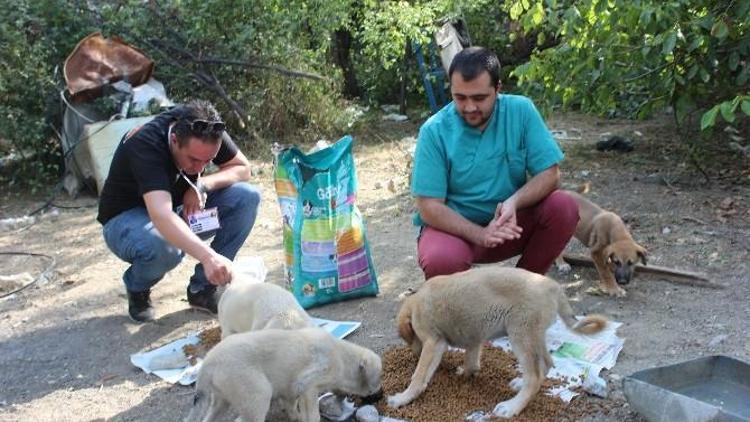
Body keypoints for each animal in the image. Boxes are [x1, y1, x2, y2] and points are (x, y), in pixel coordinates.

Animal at [183, 328, 382, 420]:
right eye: (378, 378)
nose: (380, 395)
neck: (342, 357)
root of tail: (209, 361)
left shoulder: (292, 390)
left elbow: (293, 408)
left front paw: (296, 417)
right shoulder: (308, 386)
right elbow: (312, 415)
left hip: (220, 402)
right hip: (258, 394)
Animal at [390, 268, 608, 418]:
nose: (414, 354)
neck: (417, 303)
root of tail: (553, 287)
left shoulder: (433, 343)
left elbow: (418, 376)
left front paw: (403, 397)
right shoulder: (474, 334)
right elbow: (471, 357)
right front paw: (467, 372)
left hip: (521, 334)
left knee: (535, 375)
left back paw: (512, 407)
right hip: (534, 336)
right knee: (546, 363)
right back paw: (520, 383)